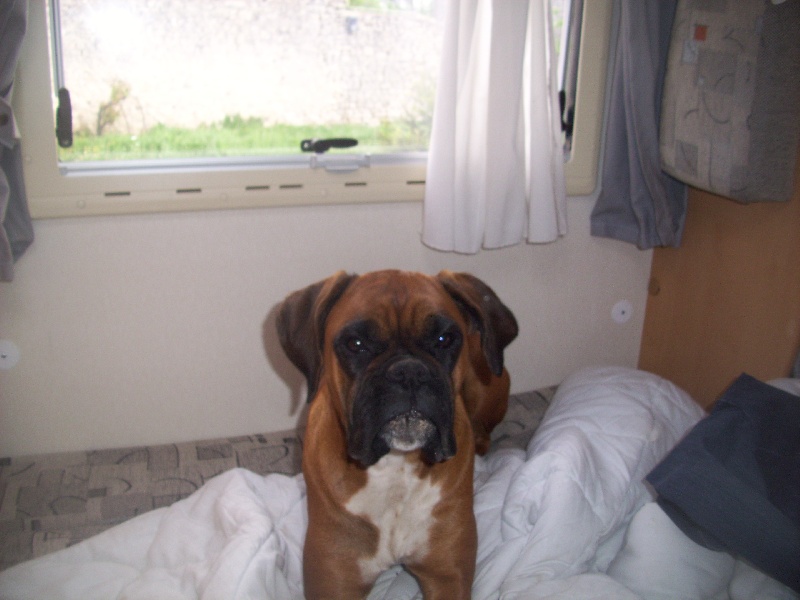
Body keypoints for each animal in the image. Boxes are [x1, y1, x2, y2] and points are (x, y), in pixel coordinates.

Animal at [276, 269, 517, 599]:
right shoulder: (334, 583)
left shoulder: (449, 577)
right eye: (355, 343)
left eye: (444, 339)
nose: (409, 371)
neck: (396, 466)